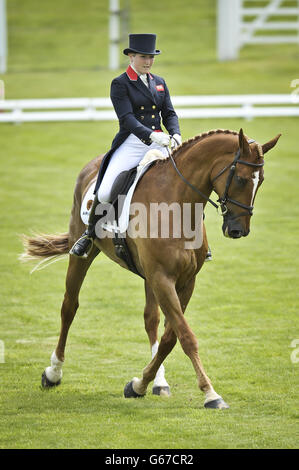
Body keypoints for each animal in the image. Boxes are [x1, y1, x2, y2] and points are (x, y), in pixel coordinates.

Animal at [21, 127, 282, 408]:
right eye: (242, 179)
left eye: (261, 180)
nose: (238, 231)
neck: (177, 205)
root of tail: (93, 164)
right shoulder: (162, 278)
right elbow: (186, 336)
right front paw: (211, 394)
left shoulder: (184, 281)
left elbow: (170, 337)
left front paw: (139, 384)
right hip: (84, 253)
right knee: (69, 307)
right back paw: (53, 373)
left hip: (148, 278)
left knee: (151, 319)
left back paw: (159, 382)